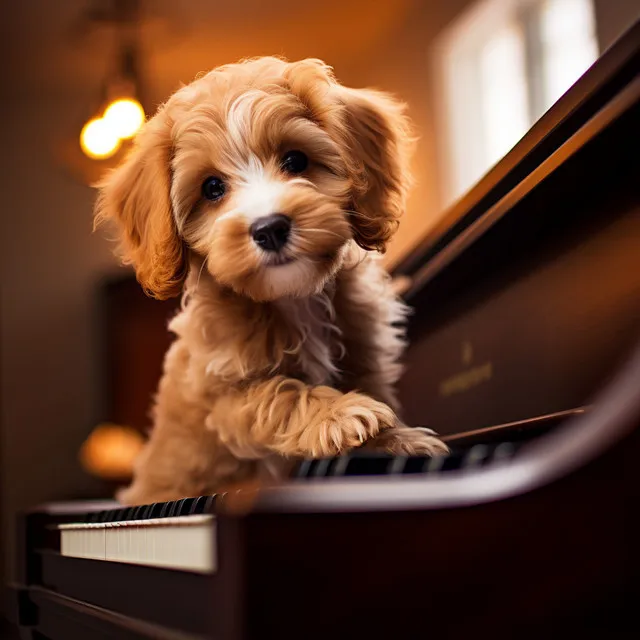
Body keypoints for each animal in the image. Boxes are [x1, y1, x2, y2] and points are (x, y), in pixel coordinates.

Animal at [95, 56, 448, 504]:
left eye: (296, 161)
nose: (269, 228)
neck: (294, 296)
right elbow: (277, 394)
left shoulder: (366, 355)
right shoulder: (223, 394)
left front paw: (400, 440)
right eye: (212, 187)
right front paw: (340, 414)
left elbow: (376, 397)